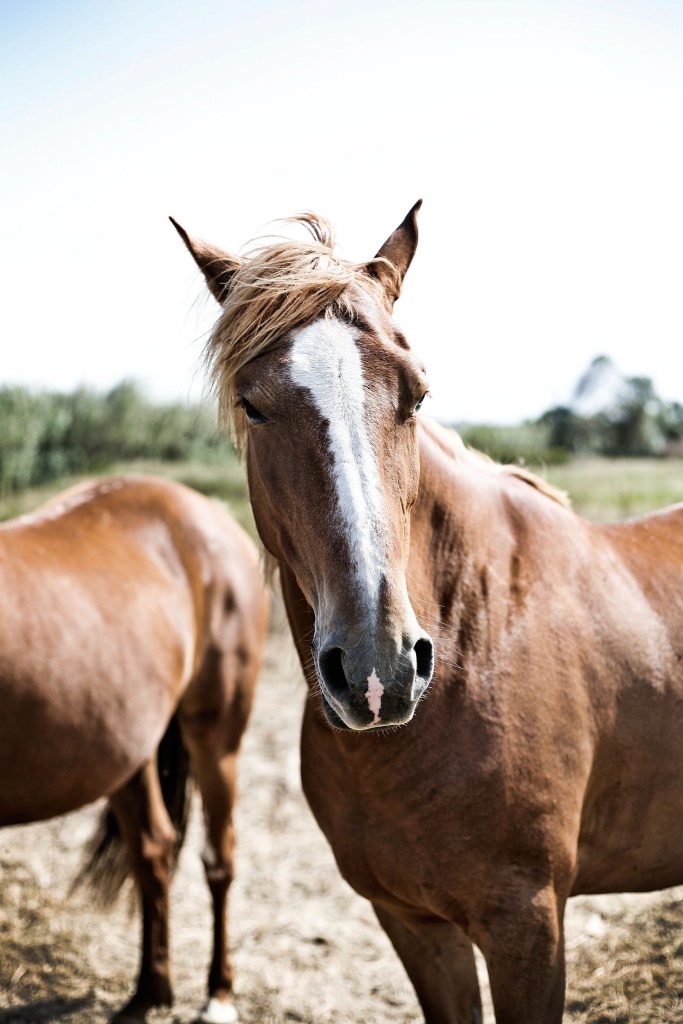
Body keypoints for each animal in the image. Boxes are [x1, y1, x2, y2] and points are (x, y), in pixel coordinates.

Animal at [0, 474, 269, 1024]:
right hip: (127, 752)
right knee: (154, 851)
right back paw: (149, 992)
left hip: (216, 739)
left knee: (218, 859)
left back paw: (218, 994)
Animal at [173, 206, 683, 1023]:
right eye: (253, 404)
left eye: (415, 393)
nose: (377, 670)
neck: (483, 632)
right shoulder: (413, 923)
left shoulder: (527, 927)